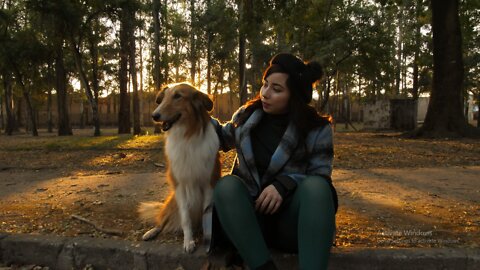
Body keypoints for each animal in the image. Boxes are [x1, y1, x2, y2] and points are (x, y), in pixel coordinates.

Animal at [139, 83, 221, 253]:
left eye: (178, 96)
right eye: (163, 97)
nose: (154, 115)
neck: (187, 137)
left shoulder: (208, 183)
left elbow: (206, 213)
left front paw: (207, 237)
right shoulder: (180, 186)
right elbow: (185, 218)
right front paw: (188, 241)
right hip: (172, 201)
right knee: (162, 221)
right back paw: (151, 232)